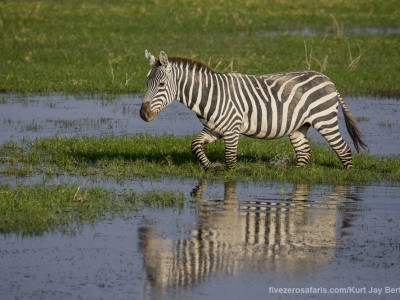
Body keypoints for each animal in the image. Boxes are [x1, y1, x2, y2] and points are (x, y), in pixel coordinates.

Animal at [140, 50, 366, 170]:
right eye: (146, 83)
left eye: (161, 85)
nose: (143, 114)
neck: (209, 94)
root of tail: (328, 80)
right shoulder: (215, 128)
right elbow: (195, 145)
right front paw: (210, 166)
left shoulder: (231, 129)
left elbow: (231, 161)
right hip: (299, 126)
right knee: (304, 154)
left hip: (325, 120)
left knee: (343, 150)